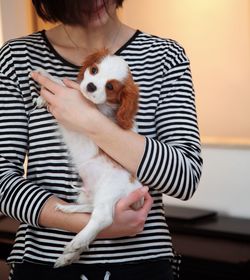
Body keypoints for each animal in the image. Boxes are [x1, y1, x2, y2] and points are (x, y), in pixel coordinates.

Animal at [34, 49, 143, 268]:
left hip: (109, 189)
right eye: (94, 70)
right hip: (92, 194)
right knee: (91, 209)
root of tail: (135, 189)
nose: (91, 86)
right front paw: (44, 97)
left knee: (104, 217)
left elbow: (65, 87)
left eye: (110, 87)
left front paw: (46, 76)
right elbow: (70, 85)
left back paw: (78, 241)